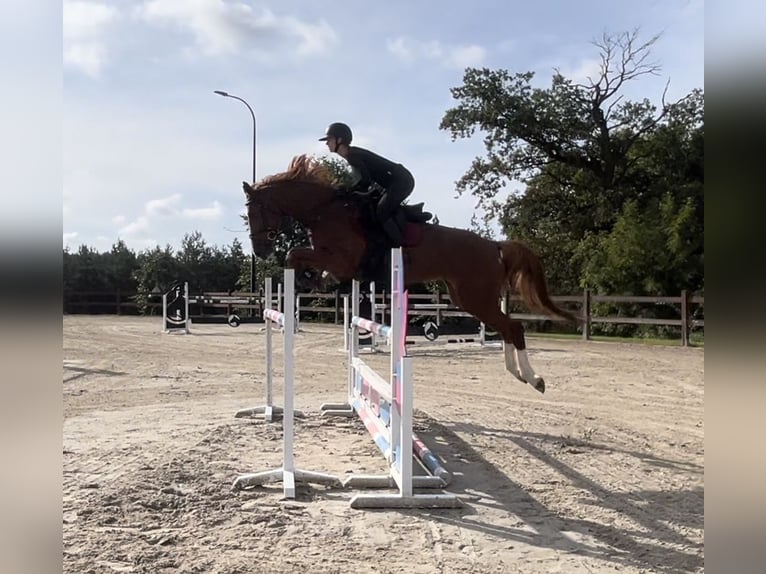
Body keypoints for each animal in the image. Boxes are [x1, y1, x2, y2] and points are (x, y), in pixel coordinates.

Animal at [243, 155, 580, 394]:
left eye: (254, 211)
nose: (259, 251)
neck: (325, 210)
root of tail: (493, 245)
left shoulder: (342, 260)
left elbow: (294, 254)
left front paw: (306, 277)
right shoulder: (337, 264)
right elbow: (308, 263)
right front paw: (316, 281)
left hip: (476, 297)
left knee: (514, 328)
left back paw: (534, 378)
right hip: (467, 298)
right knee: (507, 328)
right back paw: (518, 374)